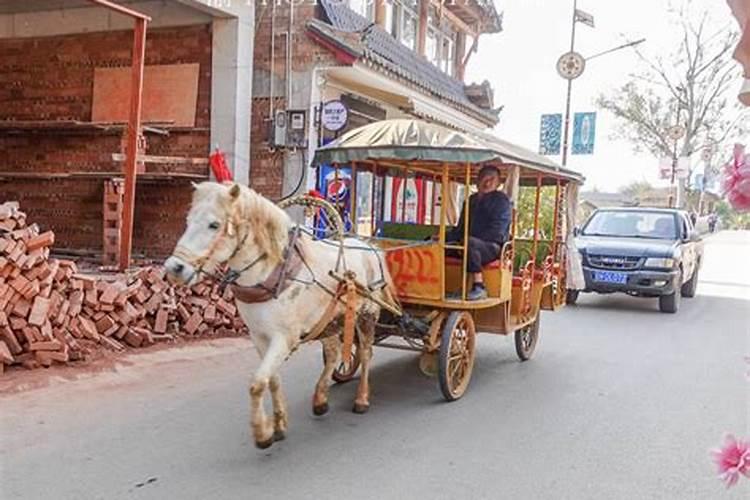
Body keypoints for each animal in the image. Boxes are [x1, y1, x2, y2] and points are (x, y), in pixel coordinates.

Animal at [164, 182, 394, 448]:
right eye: (188, 220)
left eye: (214, 224)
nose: (174, 268)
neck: (270, 276)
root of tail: (369, 245)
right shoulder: (259, 337)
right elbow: (271, 379)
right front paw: (278, 424)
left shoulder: (284, 338)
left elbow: (257, 383)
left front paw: (262, 433)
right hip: (330, 320)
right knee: (334, 354)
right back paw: (320, 399)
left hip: (367, 315)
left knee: (366, 354)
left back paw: (361, 399)